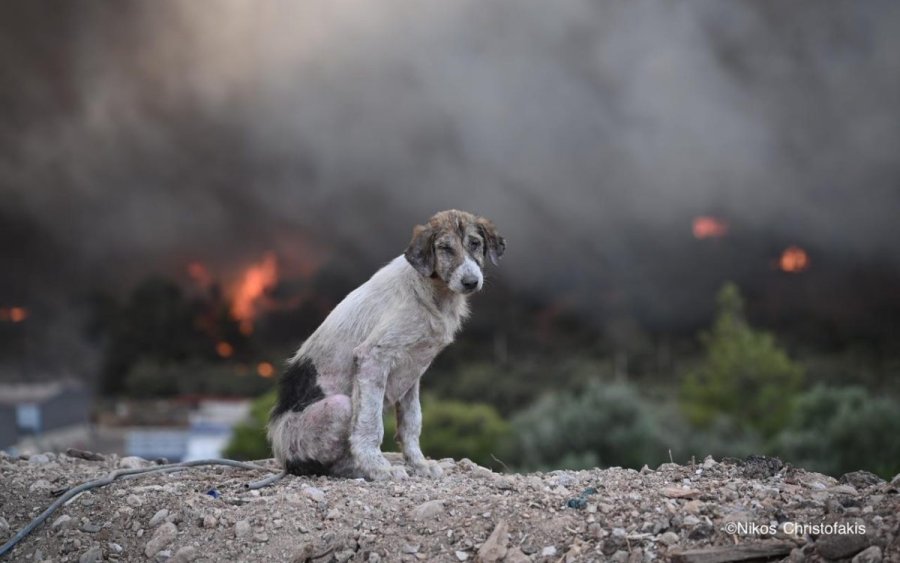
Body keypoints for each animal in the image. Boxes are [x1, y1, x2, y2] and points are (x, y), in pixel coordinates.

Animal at [268, 210, 506, 480]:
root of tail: (283, 457)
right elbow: (370, 425)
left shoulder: (413, 371)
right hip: (339, 406)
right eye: (445, 248)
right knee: (328, 463)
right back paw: (358, 469)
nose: (471, 282)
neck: (431, 291)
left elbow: (412, 423)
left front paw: (419, 465)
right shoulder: (372, 357)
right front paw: (379, 468)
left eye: (475, 243)